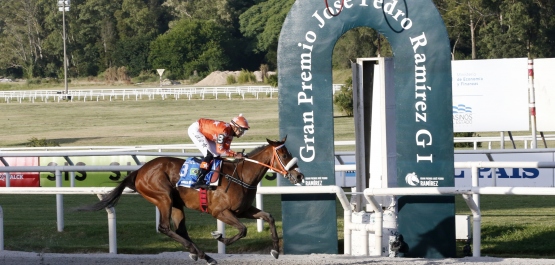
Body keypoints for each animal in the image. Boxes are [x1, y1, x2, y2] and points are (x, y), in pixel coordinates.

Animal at [76, 136, 304, 264]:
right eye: (284, 155)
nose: (300, 176)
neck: (241, 176)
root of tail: (139, 171)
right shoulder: (221, 212)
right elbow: (242, 230)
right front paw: (220, 238)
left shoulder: (244, 210)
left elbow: (269, 217)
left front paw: (275, 250)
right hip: (163, 197)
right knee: (165, 227)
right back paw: (201, 253)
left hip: (177, 204)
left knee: (180, 229)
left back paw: (201, 254)